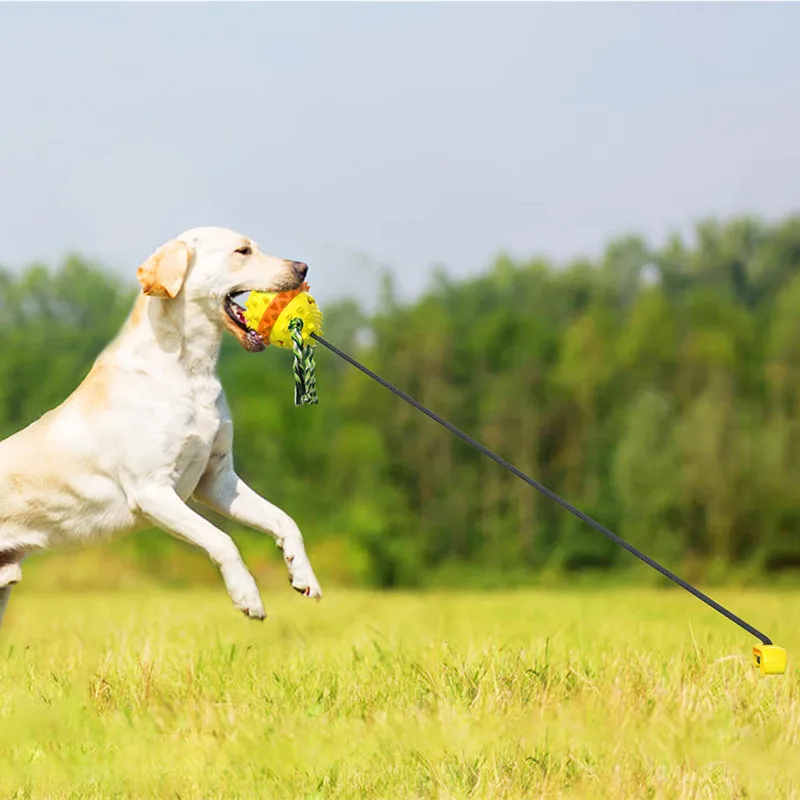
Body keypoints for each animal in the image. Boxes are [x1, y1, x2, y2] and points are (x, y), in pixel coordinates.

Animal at [2, 225, 324, 624]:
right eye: (243, 251)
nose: (303, 267)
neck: (191, 370)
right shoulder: (152, 491)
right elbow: (222, 540)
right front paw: (248, 596)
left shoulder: (217, 479)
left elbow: (284, 519)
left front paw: (303, 574)